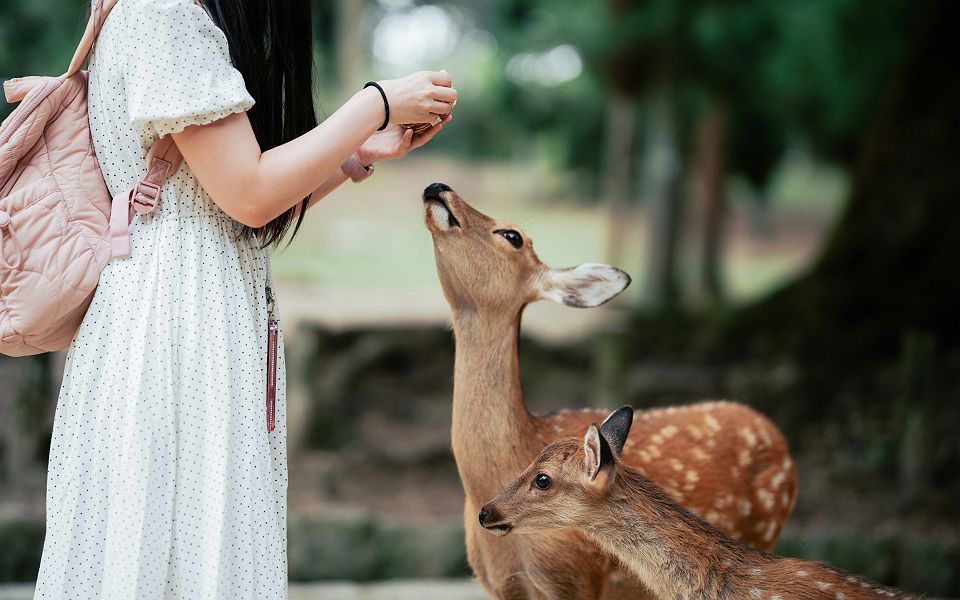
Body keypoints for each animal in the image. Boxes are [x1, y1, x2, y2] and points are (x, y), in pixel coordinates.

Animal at [424, 184, 800, 600]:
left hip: (761, 534)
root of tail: (776, 436)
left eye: (513, 235)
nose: (439, 188)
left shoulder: (579, 577)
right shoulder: (503, 586)